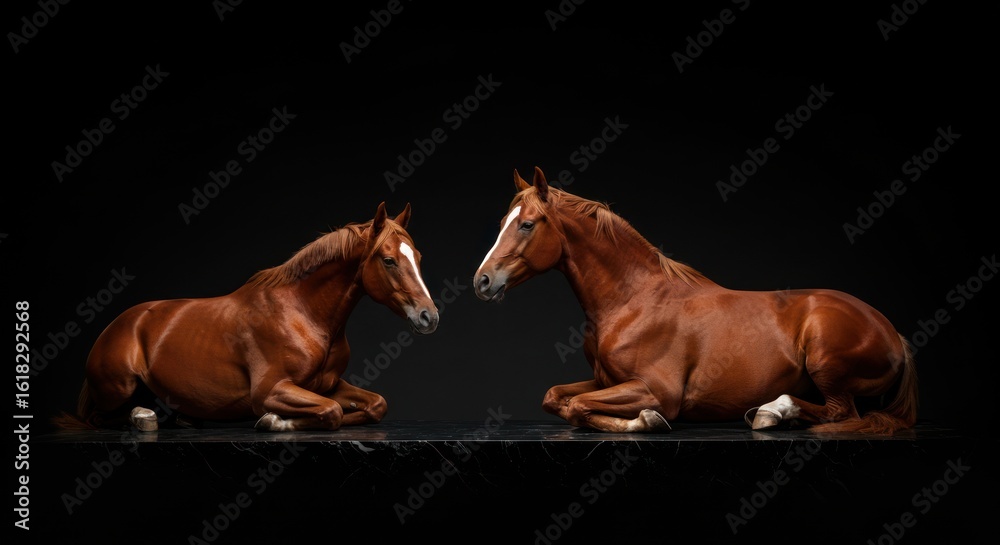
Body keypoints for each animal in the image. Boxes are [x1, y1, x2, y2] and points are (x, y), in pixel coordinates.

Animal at [54, 202, 439, 432]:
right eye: (388, 260)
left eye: (418, 257)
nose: (429, 316)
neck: (304, 314)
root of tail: (118, 324)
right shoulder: (271, 389)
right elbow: (331, 412)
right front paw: (275, 421)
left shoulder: (327, 384)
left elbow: (376, 405)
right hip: (119, 387)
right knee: (97, 417)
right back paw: (144, 417)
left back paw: (182, 417)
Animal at [473, 167, 918, 435]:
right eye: (503, 223)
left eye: (527, 225)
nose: (482, 280)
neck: (634, 301)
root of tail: (893, 333)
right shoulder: (605, 381)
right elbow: (555, 398)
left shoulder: (656, 389)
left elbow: (579, 407)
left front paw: (646, 420)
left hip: (826, 362)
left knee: (841, 412)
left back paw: (772, 412)